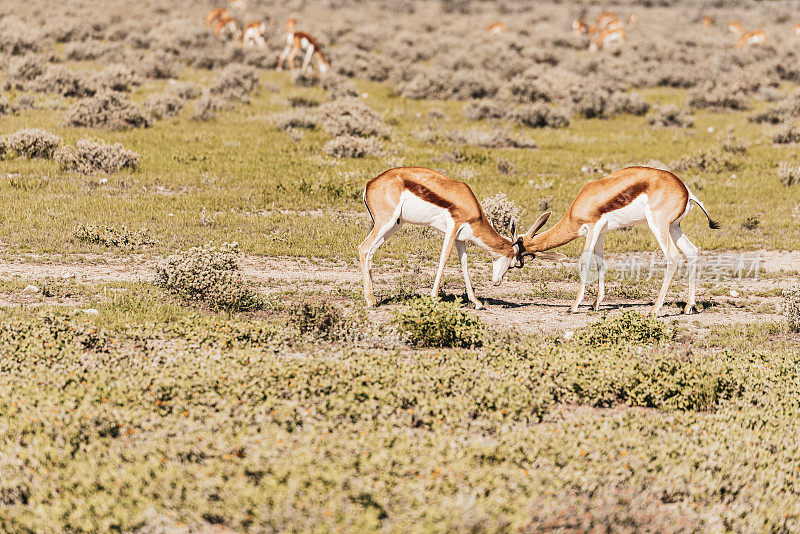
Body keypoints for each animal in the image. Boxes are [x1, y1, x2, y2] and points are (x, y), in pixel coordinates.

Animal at [360, 168, 564, 310]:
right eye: (514, 264)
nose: (497, 282)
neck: (469, 204)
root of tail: (370, 183)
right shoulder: (453, 227)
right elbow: (444, 258)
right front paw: (434, 298)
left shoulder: (461, 238)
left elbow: (464, 263)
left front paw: (477, 302)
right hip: (386, 222)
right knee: (364, 248)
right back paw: (370, 301)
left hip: (395, 225)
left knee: (371, 252)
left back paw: (374, 297)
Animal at [516, 168, 720, 318]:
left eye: (519, 251)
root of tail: (686, 191)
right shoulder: (600, 232)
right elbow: (600, 262)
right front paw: (595, 304)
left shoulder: (592, 227)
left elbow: (584, 261)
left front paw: (573, 306)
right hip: (674, 227)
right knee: (691, 251)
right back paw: (688, 307)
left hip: (658, 225)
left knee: (673, 256)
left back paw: (654, 310)